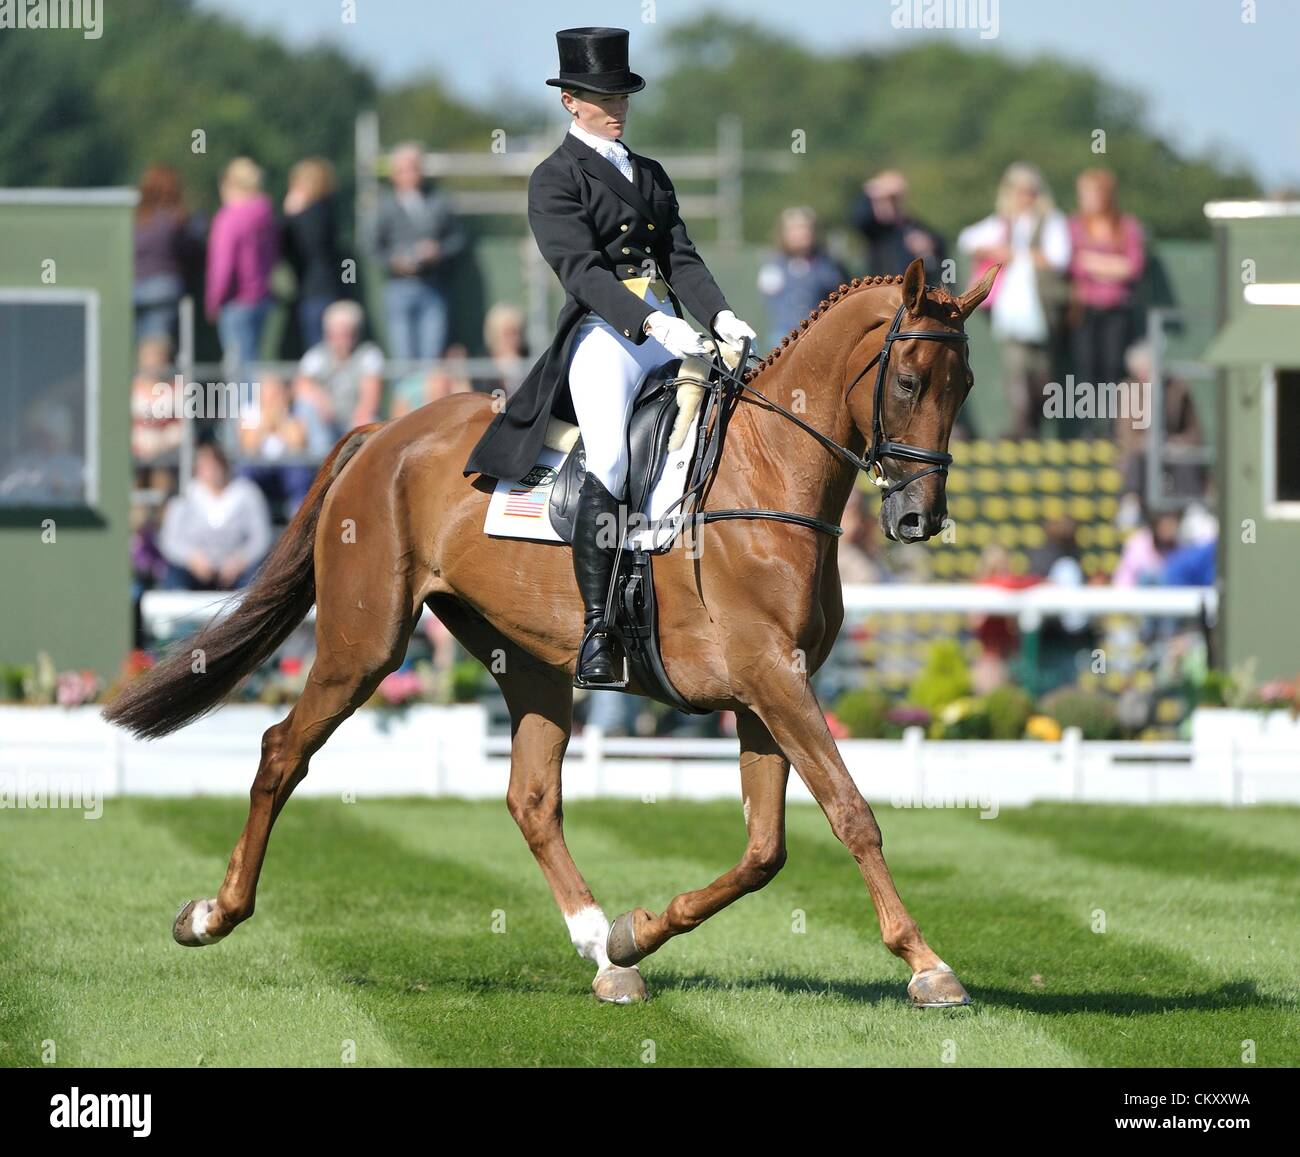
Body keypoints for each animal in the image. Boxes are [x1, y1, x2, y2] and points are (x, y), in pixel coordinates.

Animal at [106, 254, 998, 1003]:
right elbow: (851, 813)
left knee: (531, 798)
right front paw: (927, 963)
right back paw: (212, 915)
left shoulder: (767, 692)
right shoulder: (772, 680)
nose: (919, 518)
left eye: (966, 384)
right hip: (364, 647)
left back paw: (605, 952)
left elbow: (764, 850)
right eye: (909, 380)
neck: (768, 472)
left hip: (528, 657)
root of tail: (384, 434)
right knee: (282, 751)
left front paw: (639, 932)